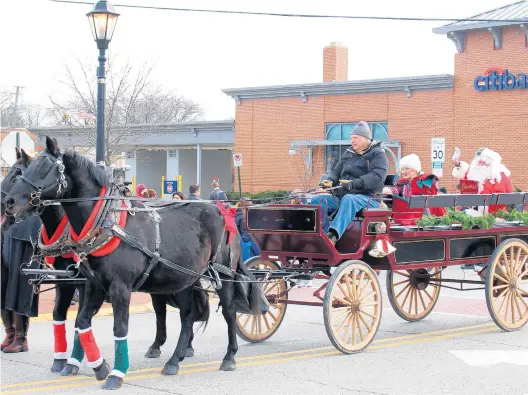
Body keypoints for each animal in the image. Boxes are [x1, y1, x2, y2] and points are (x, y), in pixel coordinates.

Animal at [5, 138, 244, 392]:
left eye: (43, 168)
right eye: (21, 171)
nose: (9, 201)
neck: (106, 221)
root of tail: (222, 208)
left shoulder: (119, 287)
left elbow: (119, 328)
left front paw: (116, 373)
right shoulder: (93, 285)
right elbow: (81, 321)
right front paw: (97, 366)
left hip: (224, 274)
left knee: (229, 311)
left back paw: (229, 356)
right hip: (184, 278)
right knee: (187, 315)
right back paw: (174, 359)